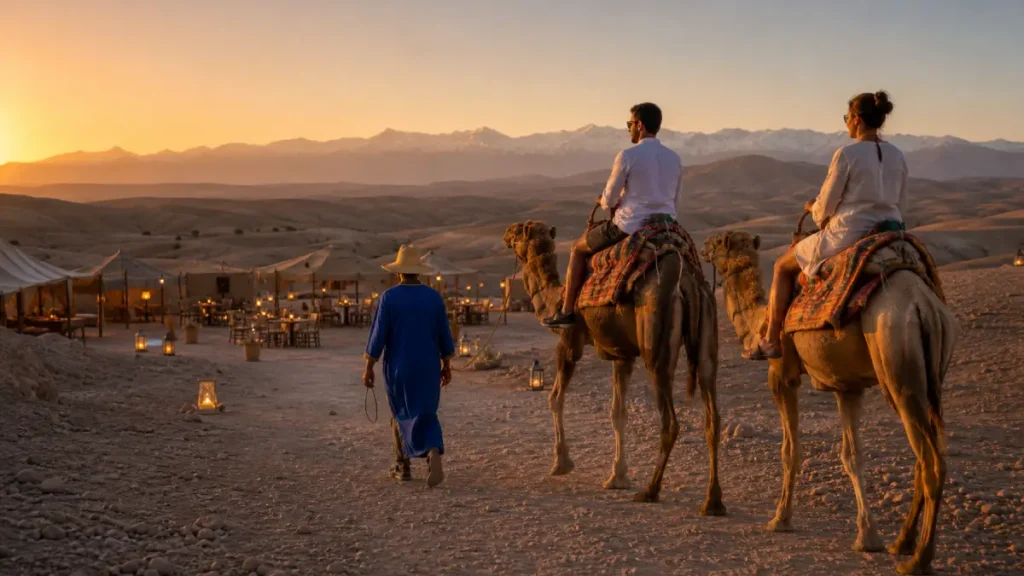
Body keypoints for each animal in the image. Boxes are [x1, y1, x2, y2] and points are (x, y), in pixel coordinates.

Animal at [502, 220, 725, 513]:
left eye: (518, 231)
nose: (505, 235)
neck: (554, 298)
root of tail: (687, 280)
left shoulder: (569, 343)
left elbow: (555, 398)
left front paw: (561, 463)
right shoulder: (622, 355)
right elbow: (618, 412)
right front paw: (618, 476)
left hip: (657, 344)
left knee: (670, 421)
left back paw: (650, 491)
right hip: (707, 335)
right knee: (712, 414)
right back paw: (713, 502)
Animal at [701, 229, 956, 576]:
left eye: (718, 243)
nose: (702, 245)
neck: (759, 321)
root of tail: (923, 305)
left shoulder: (781, 376)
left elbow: (790, 451)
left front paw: (780, 519)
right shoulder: (846, 387)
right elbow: (852, 456)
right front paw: (868, 537)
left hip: (898, 365)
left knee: (931, 461)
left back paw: (918, 559)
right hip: (928, 379)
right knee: (924, 455)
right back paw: (901, 542)